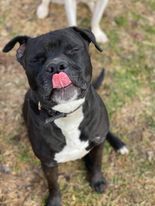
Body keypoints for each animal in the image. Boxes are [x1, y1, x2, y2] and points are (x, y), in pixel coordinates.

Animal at [3, 27, 128, 206]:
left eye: (73, 50)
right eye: (37, 59)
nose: (56, 66)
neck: (67, 113)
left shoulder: (98, 144)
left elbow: (97, 164)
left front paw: (97, 181)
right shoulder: (48, 163)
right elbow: (53, 184)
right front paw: (54, 201)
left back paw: (119, 145)